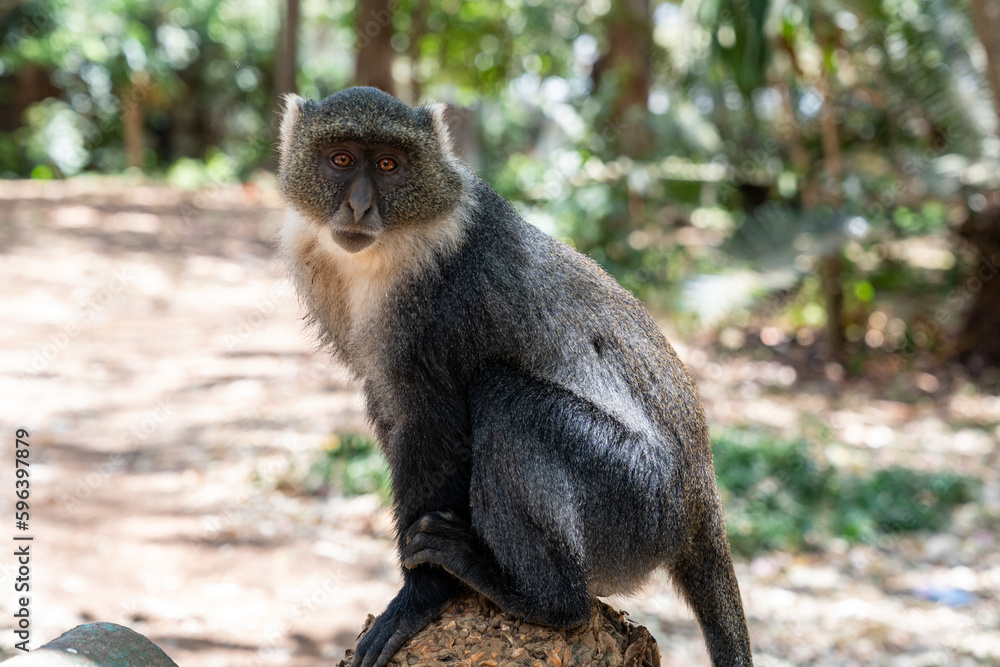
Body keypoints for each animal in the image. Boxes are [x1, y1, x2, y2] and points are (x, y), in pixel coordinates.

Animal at [276, 87, 752, 667]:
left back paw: (545, 599)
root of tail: (700, 499)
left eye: (389, 165)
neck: (398, 246)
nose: (359, 206)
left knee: (504, 398)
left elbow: (434, 429)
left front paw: (421, 597)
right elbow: (394, 415)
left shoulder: (443, 309)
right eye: (341, 159)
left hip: (635, 502)